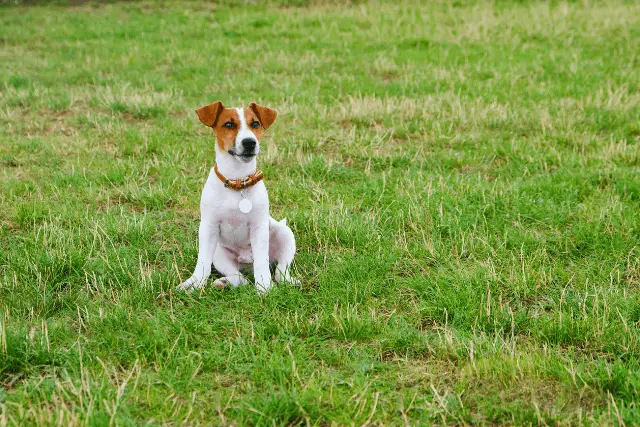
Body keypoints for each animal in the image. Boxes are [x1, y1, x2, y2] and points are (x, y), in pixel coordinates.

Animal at [179, 102, 296, 294]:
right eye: (228, 124)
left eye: (255, 124)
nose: (249, 142)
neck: (238, 182)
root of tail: (246, 263)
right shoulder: (208, 227)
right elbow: (202, 262)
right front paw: (194, 283)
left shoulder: (258, 228)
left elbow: (262, 265)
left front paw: (264, 289)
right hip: (219, 254)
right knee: (241, 278)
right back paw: (224, 282)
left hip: (285, 235)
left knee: (280, 270)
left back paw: (288, 281)